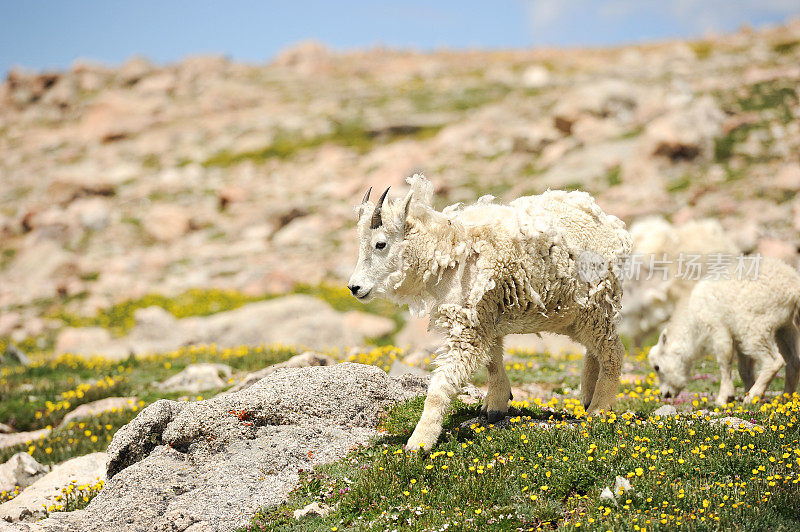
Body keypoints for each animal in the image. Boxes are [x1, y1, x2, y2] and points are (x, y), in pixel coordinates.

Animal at [348, 175, 632, 448]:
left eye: (380, 244)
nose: (354, 287)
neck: (449, 252)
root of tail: (613, 228)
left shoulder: (469, 324)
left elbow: (440, 388)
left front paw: (419, 442)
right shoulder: (484, 315)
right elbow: (493, 361)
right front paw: (495, 405)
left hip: (596, 306)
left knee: (613, 352)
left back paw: (598, 409)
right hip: (577, 314)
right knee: (594, 349)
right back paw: (587, 396)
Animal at [648, 256, 800, 406]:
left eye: (657, 367)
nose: (665, 394)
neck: (692, 325)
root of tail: (793, 289)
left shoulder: (718, 328)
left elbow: (724, 361)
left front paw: (724, 397)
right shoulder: (737, 337)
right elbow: (744, 369)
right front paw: (745, 391)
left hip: (755, 324)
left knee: (774, 361)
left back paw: (753, 396)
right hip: (785, 327)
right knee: (793, 361)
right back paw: (785, 397)